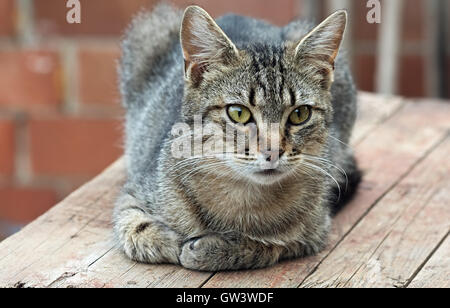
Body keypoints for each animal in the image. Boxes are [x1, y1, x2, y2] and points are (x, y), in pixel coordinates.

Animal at [114, 3, 360, 270]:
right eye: (239, 113)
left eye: (300, 114)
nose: (273, 151)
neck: (246, 197)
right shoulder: (132, 193)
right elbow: (135, 228)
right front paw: (171, 240)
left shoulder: (316, 231)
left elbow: (271, 246)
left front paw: (215, 249)